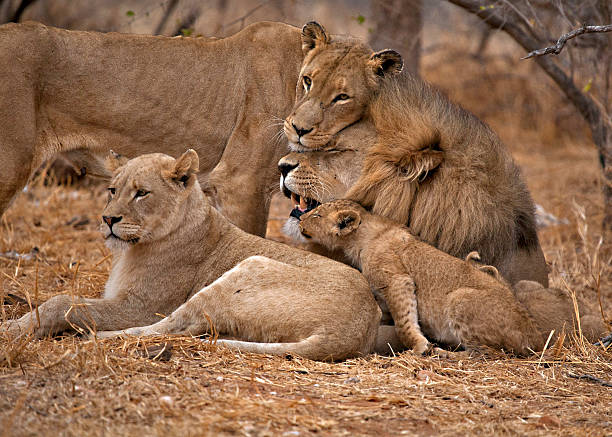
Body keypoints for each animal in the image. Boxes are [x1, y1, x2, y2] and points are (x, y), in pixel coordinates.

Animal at [3, 151, 382, 362]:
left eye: (141, 193)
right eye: (112, 190)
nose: (109, 219)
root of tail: (354, 330)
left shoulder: (140, 306)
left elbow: (64, 302)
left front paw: (12, 328)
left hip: (247, 269)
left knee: (173, 327)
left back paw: (93, 339)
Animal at [298, 201, 608, 354]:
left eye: (316, 214)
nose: (299, 219)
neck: (365, 233)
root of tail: (536, 335)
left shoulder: (398, 279)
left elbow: (404, 320)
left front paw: (419, 346)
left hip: (459, 300)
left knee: (486, 354)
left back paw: (444, 353)